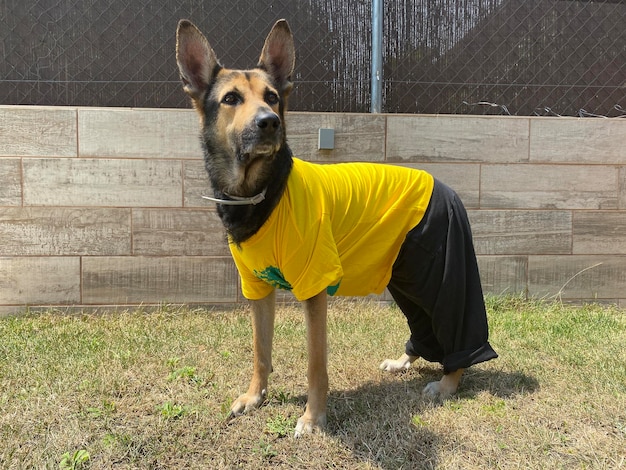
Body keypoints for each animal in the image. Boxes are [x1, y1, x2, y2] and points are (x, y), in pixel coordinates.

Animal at [173, 18, 494, 436]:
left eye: (272, 97)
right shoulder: (258, 287)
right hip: (406, 278)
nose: (269, 122)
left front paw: (313, 418)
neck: (263, 191)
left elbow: (315, 364)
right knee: (424, 326)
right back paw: (403, 362)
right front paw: (255, 397)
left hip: (442, 272)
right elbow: (261, 350)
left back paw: (448, 382)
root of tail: (444, 185)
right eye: (230, 99)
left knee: (456, 329)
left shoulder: (314, 290)